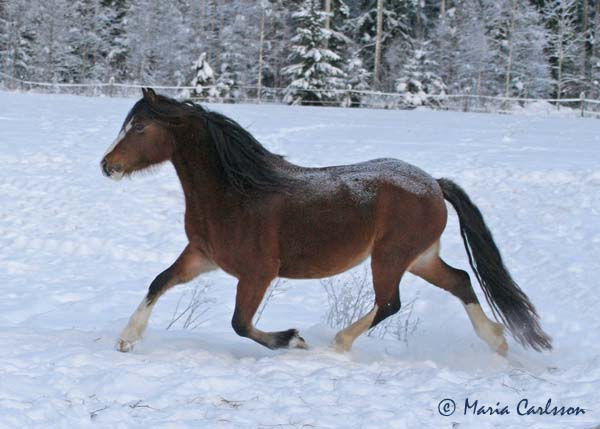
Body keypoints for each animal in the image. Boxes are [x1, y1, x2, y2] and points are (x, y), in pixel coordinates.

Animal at [99, 88, 552, 354]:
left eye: (140, 127)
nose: (107, 166)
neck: (235, 193)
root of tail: (434, 184)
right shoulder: (201, 256)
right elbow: (159, 281)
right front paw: (127, 338)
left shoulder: (258, 273)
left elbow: (241, 324)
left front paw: (293, 339)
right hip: (420, 258)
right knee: (459, 280)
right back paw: (497, 341)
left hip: (390, 257)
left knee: (390, 302)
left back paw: (339, 342)